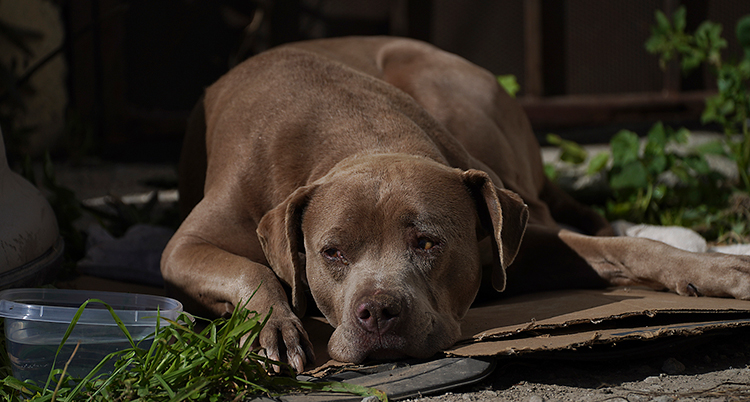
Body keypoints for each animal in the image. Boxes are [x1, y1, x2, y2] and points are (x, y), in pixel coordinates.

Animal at [163, 36, 750, 372]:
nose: (378, 311)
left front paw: (716, 270)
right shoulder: (185, 247)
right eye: (331, 253)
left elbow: (627, 249)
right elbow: (253, 270)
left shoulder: (515, 241)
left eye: (428, 243)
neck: (359, 138)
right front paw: (273, 328)